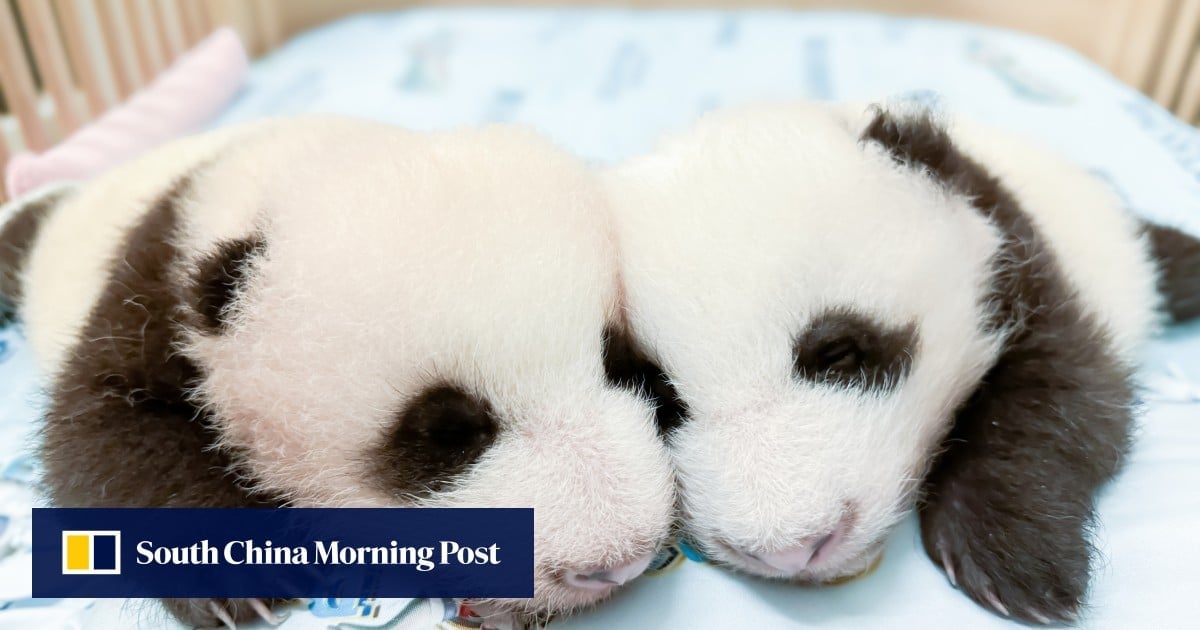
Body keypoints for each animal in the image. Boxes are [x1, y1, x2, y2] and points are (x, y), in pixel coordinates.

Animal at [0, 115, 676, 624]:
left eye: (623, 367)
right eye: (448, 435)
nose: (616, 562)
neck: (285, 174)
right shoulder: (153, 298)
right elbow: (98, 425)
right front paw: (237, 582)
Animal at [604, 100, 1200, 619]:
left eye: (838, 355)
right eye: (662, 399)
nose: (792, 551)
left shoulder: (1015, 259)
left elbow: (1063, 393)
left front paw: (1015, 557)